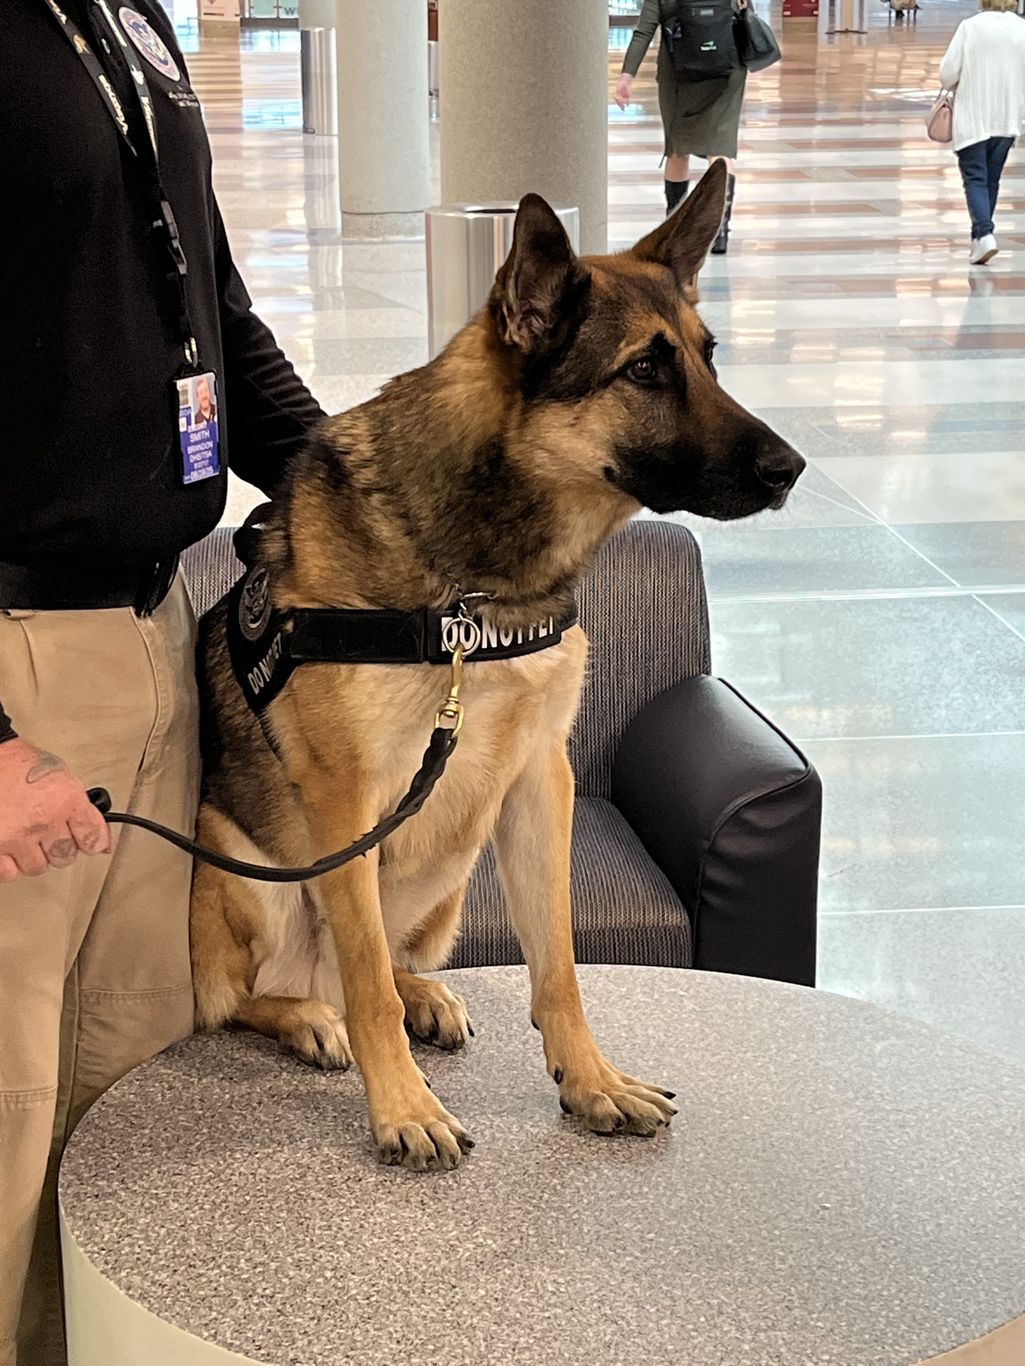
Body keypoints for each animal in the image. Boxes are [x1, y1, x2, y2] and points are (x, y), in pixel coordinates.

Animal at [191, 165, 803, 1174]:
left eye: (710, 357)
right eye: (645, 370)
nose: (791, 469)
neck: (473, 593)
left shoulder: (537, 782)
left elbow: (556, 966)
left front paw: (588, 1081)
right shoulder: (346, 801)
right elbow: (366, 987)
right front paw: (402, 1107)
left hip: (449, 873)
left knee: (389, 964)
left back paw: (423, 994)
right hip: (249, 871)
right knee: (266, 993)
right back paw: (310, 1016)